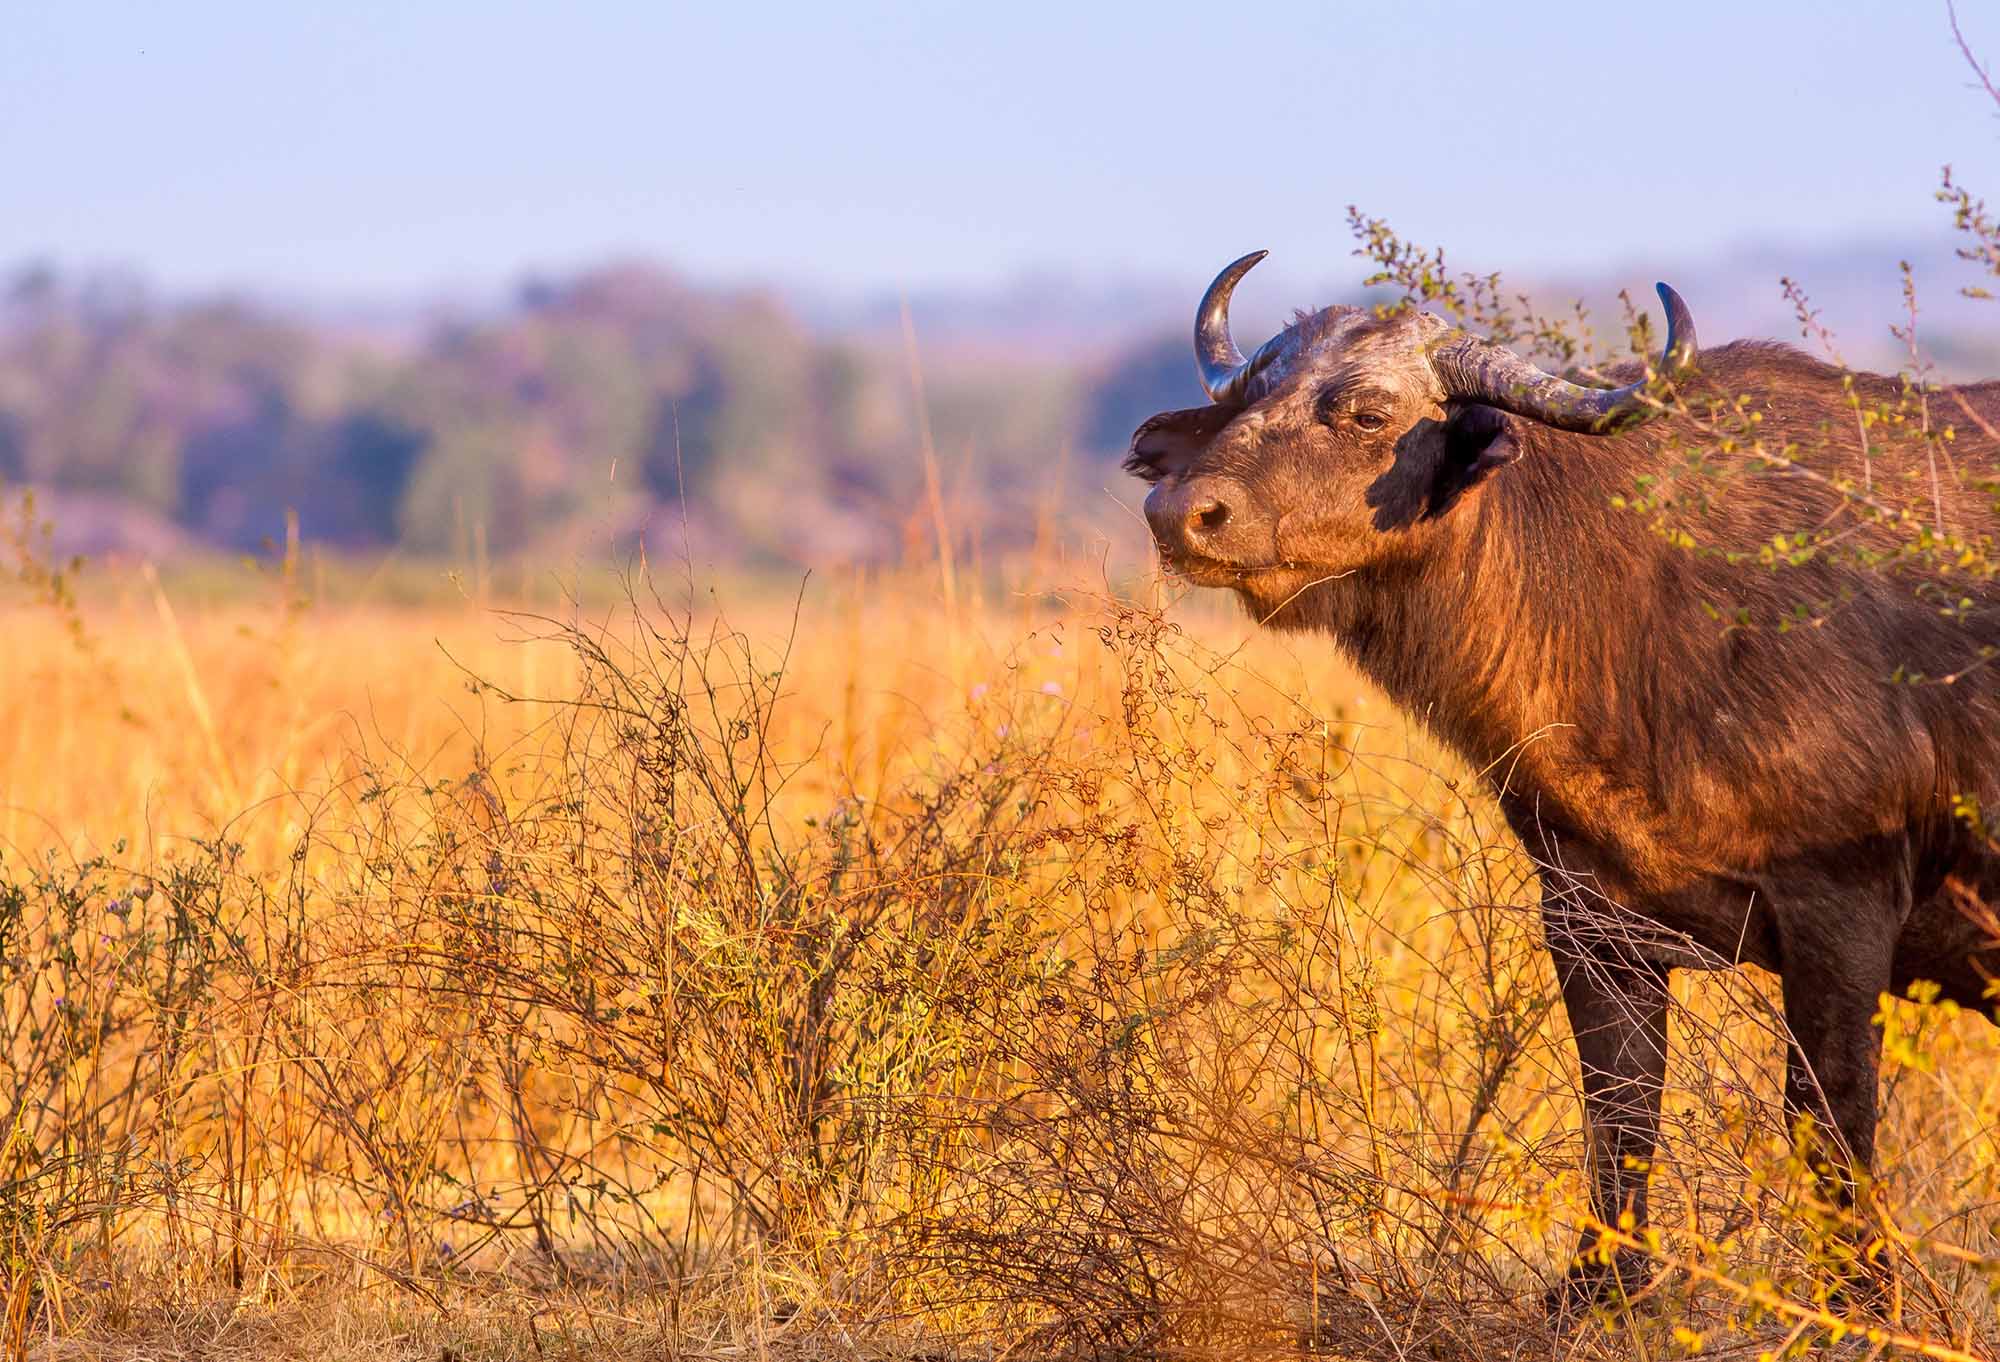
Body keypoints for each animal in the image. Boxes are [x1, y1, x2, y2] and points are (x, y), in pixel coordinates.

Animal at [1126, 251, 2000, 1314]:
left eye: (1368, 413)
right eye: (1252, 396)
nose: (1182, 514)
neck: (1641, 601)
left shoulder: (1843, 911)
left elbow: (1830, 1122)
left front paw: (1858, 1309)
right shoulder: (1588, 917)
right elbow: (1618, 1110)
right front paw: (1598, 1288)